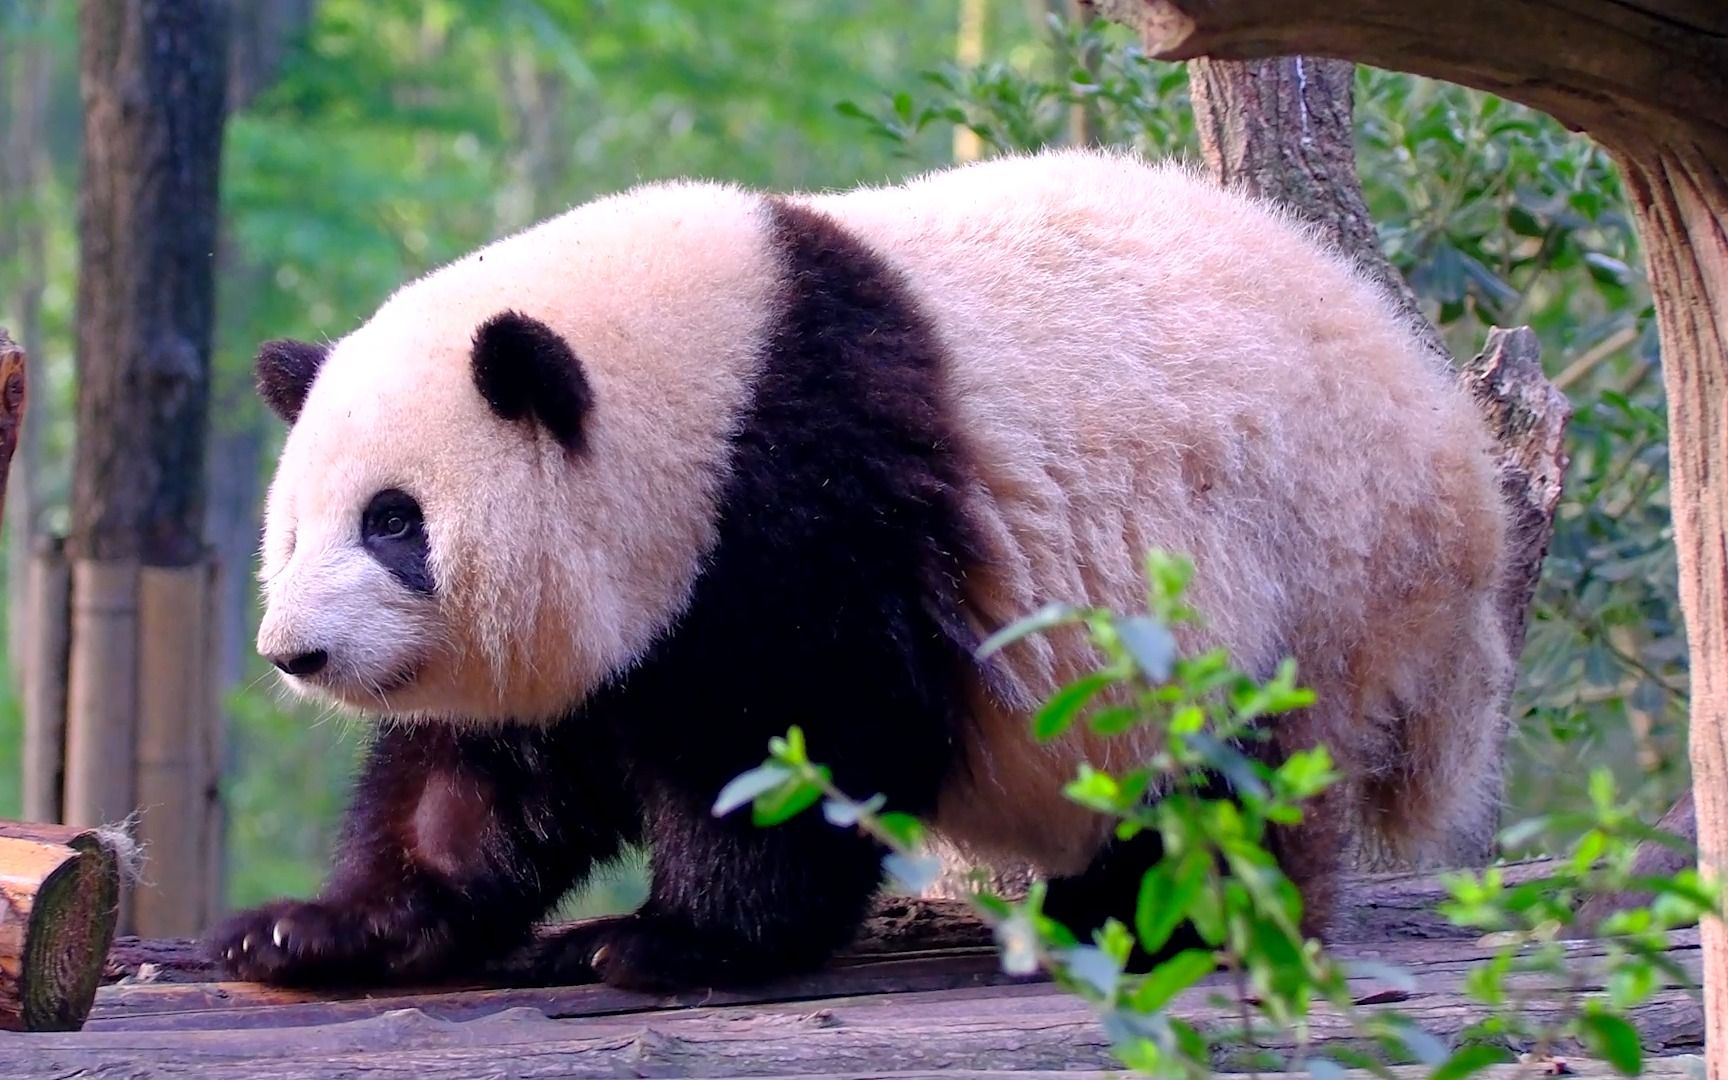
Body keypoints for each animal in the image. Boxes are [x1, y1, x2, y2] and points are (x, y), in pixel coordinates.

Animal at [209, 147, 1513, 988]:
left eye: (394, 523)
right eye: (293, 534)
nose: (295, 652)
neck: (699, 382)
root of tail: (1459, 464)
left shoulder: (806, 495)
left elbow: (796, 740)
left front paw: (663, 942)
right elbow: (481, 781)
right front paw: (306, 932)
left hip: (1285, 575)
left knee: (1219, 774)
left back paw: (1165, 922)